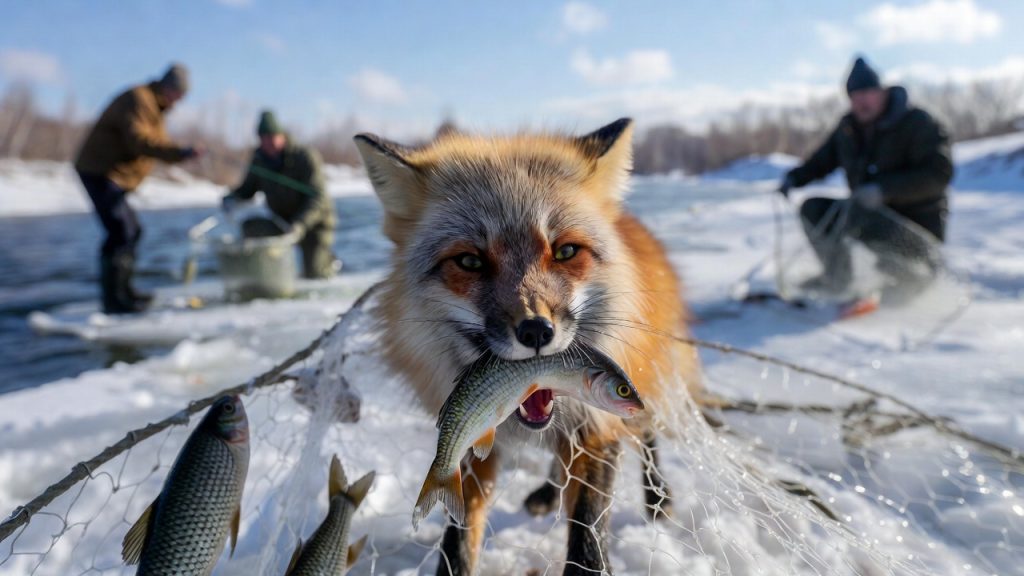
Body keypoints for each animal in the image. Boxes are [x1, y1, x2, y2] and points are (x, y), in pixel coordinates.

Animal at [354, 118, 701, 575]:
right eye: (470, 261)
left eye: (566, 251)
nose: (536, 331)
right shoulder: (468, 437)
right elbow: (459, 540)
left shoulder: (598, 427)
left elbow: (588, 539)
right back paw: (550, 492)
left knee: (646, 434)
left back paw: (658, 497)